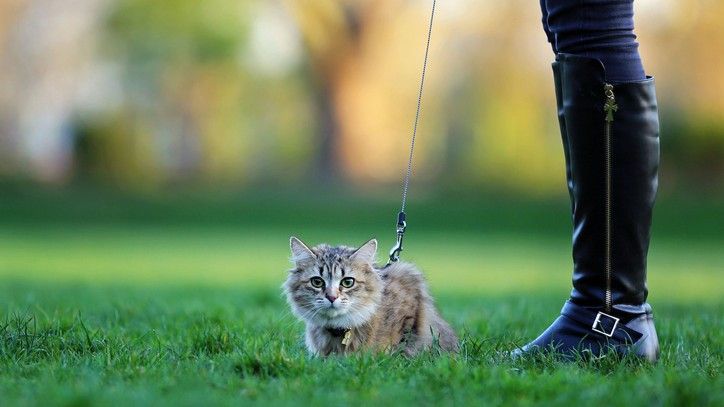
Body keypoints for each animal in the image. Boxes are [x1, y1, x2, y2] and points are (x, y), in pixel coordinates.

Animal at [282, 237, 456, 356]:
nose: (332, 297)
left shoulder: (409, 302)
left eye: (348, 282)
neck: (339, 329)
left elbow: (403, 345)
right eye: (317, 282)